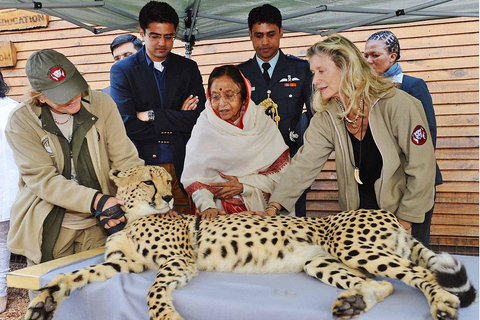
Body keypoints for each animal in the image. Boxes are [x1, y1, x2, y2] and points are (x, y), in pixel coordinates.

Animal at [25, 165, 476, 320]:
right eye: (149, 181)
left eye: (166, 179)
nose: (169, 197)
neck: (135, 216)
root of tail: (385, 213)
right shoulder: (122, 264)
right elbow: (75, 275)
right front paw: (45, 299)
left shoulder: (179, 262)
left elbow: (153, 291)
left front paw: (166, 316)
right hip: (320, 261)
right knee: (381, 283)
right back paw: (352, 303)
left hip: (355, 247)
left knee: (421, 275)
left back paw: (442, 304)